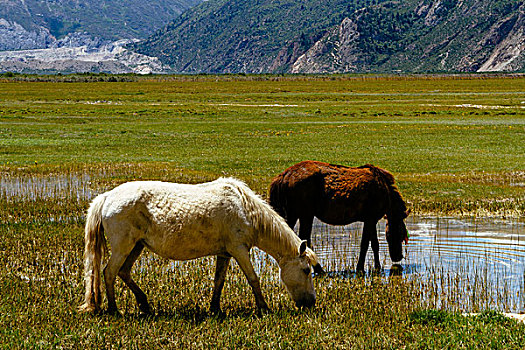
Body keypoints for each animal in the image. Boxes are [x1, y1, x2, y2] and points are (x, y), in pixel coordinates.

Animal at [78, 178, 320, 314]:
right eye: (306, 270)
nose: (310, 303)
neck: (245, 209)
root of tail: (106, 196)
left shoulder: (225, 254)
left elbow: (219, 281)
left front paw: (214, 309)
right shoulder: (239, 250)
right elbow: (253, 278)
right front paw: (263, 308)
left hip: (136, 246)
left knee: (123, 272)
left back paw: (144, 305)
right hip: (123, 246)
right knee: (109, 272)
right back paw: (114, 309)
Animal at [270, 160, 410, 272]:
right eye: (402, 234)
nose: (398, 257)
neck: (385, 191)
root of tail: (284, 176)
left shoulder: (372, 220)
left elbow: (375, 244)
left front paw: (377, 267)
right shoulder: (370, 218)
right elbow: (365, 244)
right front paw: (360, 267)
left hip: (292, 215)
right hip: (306, 214)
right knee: (304, 239)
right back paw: (319, 270)